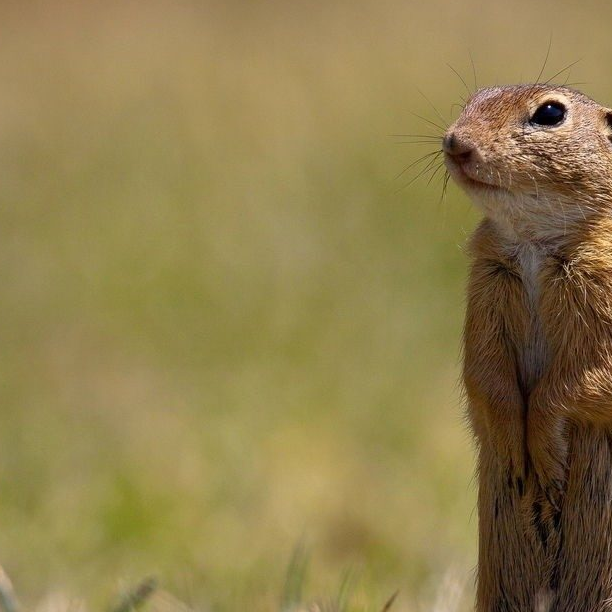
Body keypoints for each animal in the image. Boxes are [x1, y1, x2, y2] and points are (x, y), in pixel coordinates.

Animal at [442, 85, 612, 612]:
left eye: (551, 113)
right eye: (474, 98)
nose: (455, 142)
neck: (535, 243)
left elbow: (580, 380)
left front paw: (543, 452)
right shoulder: (486, 288)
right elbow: (484, 373)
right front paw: (516, 456)